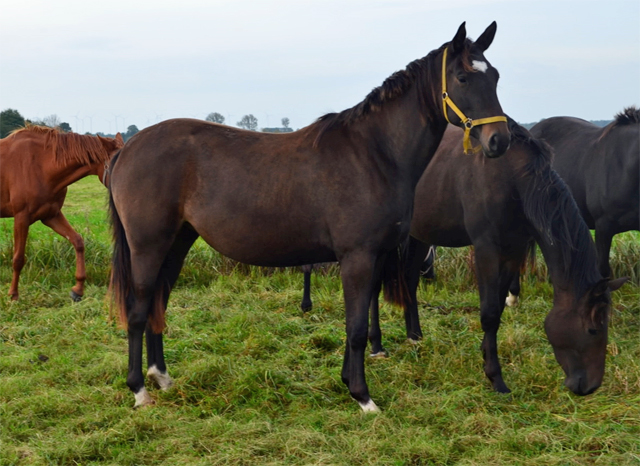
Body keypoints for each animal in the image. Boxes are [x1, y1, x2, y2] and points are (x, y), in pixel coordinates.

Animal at [0, 122, 124, 300]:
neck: (40, 165)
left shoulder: (51, 216)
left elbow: (78, 242)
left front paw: (78, 289)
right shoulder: (21, 217)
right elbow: (18, 258)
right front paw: (13, 295)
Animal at [109, 22, 510, 412]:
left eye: (495, 77)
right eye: (462, 77)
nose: (499, 140)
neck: (375, 154)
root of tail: (127, 148)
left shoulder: (375, 256)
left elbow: (356, 322)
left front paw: (348, 381)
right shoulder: (358, 257)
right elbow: (356, 329)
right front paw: (363, 397)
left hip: (177, 242)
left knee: (158, 301)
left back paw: (161, 377)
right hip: (148, 246)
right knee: (140, 308)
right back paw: (139, 391)